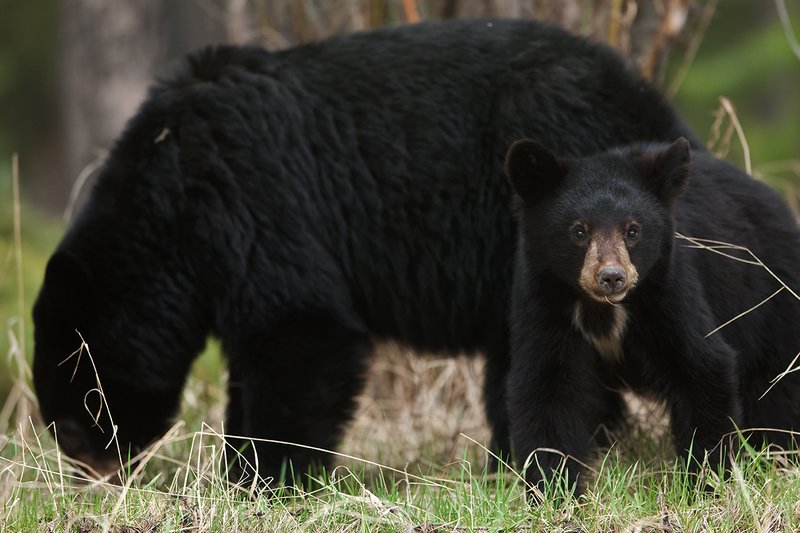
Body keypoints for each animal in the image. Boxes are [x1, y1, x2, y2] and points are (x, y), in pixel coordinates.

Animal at [32, 18, 697, 485]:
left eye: (74, 421)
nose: (91, 480)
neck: (170, 190)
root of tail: (658, 110)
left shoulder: (252, 196)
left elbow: (303, 333)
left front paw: (266, 479)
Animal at [504, 137, 800, 498]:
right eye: (578, 231)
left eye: (633, 231)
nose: (612, 277)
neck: (603, 309)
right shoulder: (543, 301)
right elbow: (547, 388)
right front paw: (554, 491)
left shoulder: (668, 290)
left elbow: (702, 367)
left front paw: (707, 482)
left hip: (773, 299)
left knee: (777, 388)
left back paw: (778, 454)